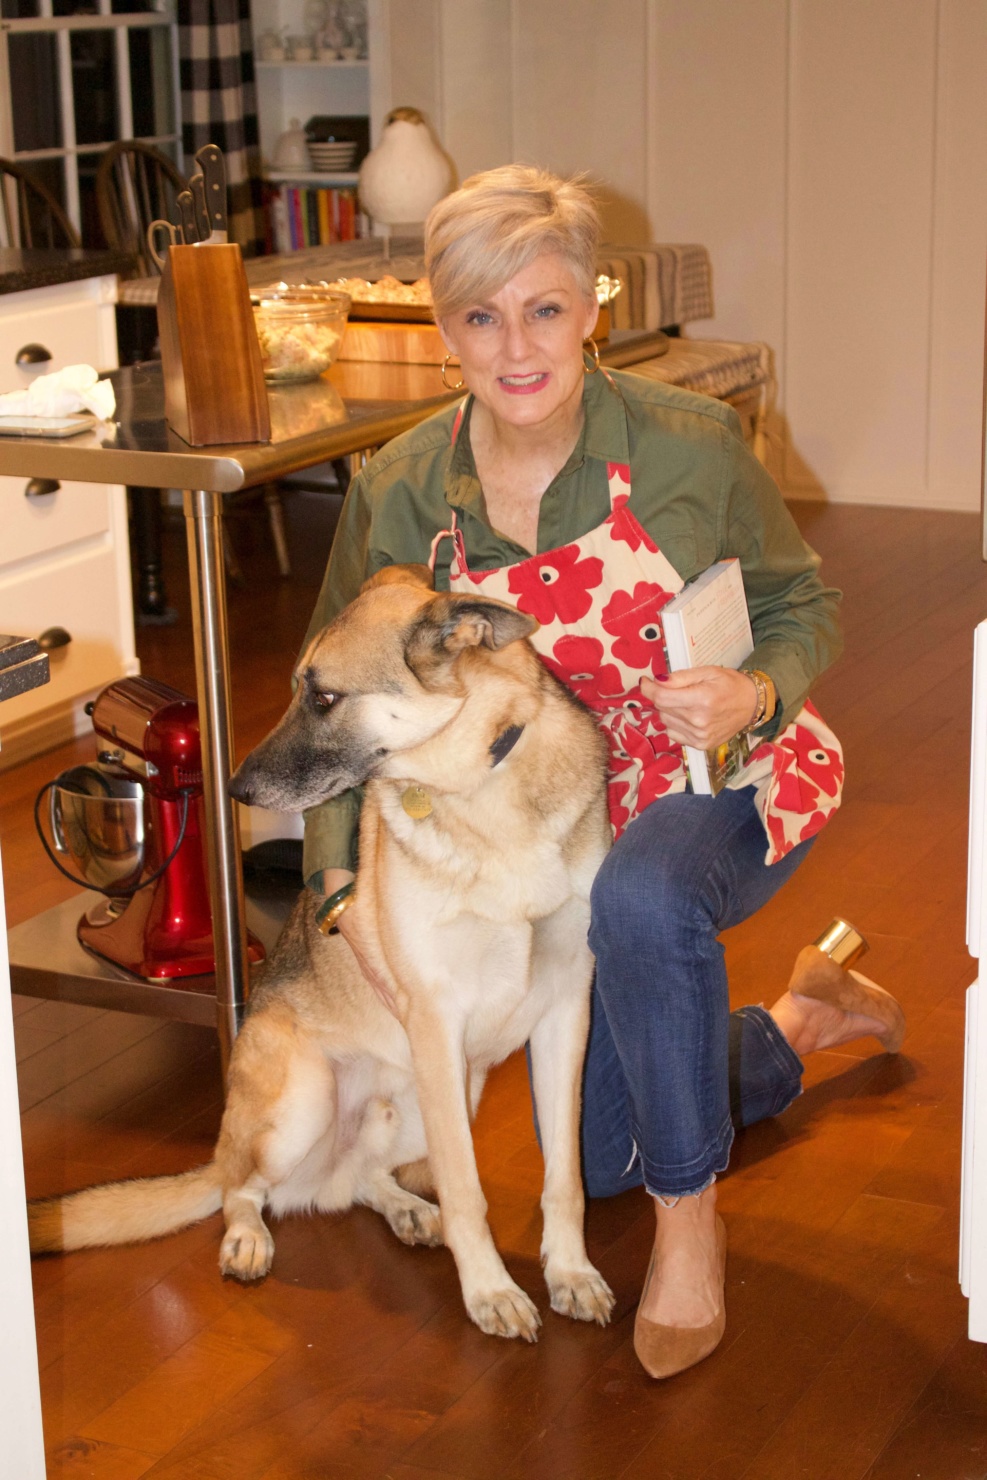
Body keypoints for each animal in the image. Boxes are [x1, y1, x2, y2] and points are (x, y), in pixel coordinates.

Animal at [29, 562, 618, 1343]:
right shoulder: (437, 1023)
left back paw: (405, 1210)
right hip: (306, 1103)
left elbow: (565, 1180)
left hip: (444, 1097)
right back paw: (247, 1238)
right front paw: (491, 1291)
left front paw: (570, 1272)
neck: (481, 786)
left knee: (356, 1180)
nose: (235, 789)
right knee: (241, 1189)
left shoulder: (563, 1018)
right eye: (296, 689)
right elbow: (467, 1191)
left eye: (324, 697)